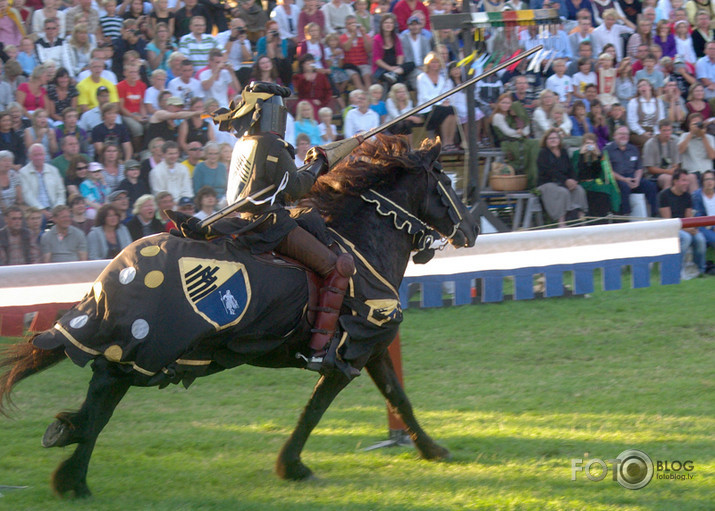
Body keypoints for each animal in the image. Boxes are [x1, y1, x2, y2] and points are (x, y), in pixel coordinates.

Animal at [0, 137, 482, 500]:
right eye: (445, 179)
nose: (473, 228)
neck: (363, 240)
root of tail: (109, 278)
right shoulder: (350, 353)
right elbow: (316, 409)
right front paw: (292, 466)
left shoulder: (371, 347)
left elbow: (398, 397)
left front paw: (432, 449)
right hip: (146, 353)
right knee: (101, 403)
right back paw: (73, 468)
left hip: (132, 356)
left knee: (101, 397)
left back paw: (69, 461)